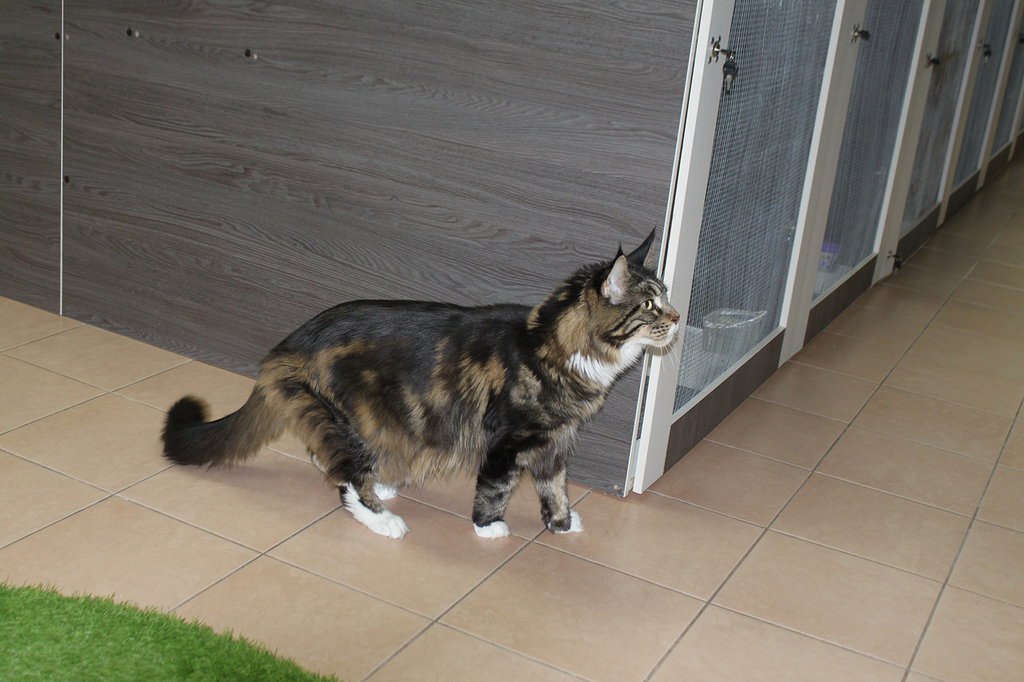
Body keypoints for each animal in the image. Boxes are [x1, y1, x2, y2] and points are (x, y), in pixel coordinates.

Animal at [161, 231, 679, 539]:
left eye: (666, 297)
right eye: (649, 305)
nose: (677, 318)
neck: (550, 345)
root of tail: (289, 343)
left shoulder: (554, 443)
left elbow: (555, 489)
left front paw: (562, 524)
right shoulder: (508, 441)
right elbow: (496, 488)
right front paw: (488, 527)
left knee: (329, 459)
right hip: (356, 416)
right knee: (345, 476)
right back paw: (383, 518)